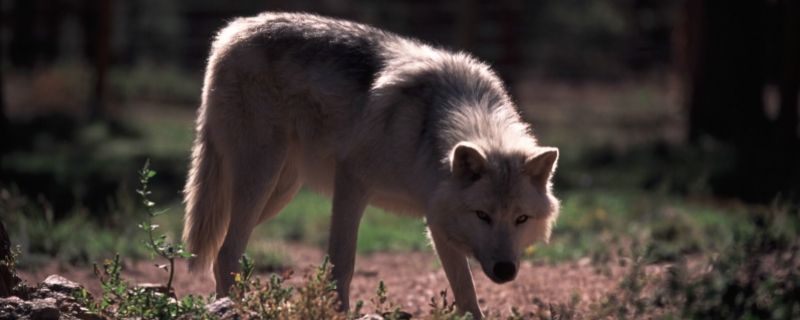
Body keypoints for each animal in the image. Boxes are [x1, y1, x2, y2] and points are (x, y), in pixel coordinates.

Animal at [184, 11, 560, 318]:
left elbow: (466, 295)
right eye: (483, 215)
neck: (428, 130)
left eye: (521, 219)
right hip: (261, 178)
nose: (505, 270)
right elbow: (342, 266)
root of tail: (232, 31)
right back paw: (232, 308)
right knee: (227, 253)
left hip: (278, 193)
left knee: (221, 250)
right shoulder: (351, 184)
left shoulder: (436, 219)